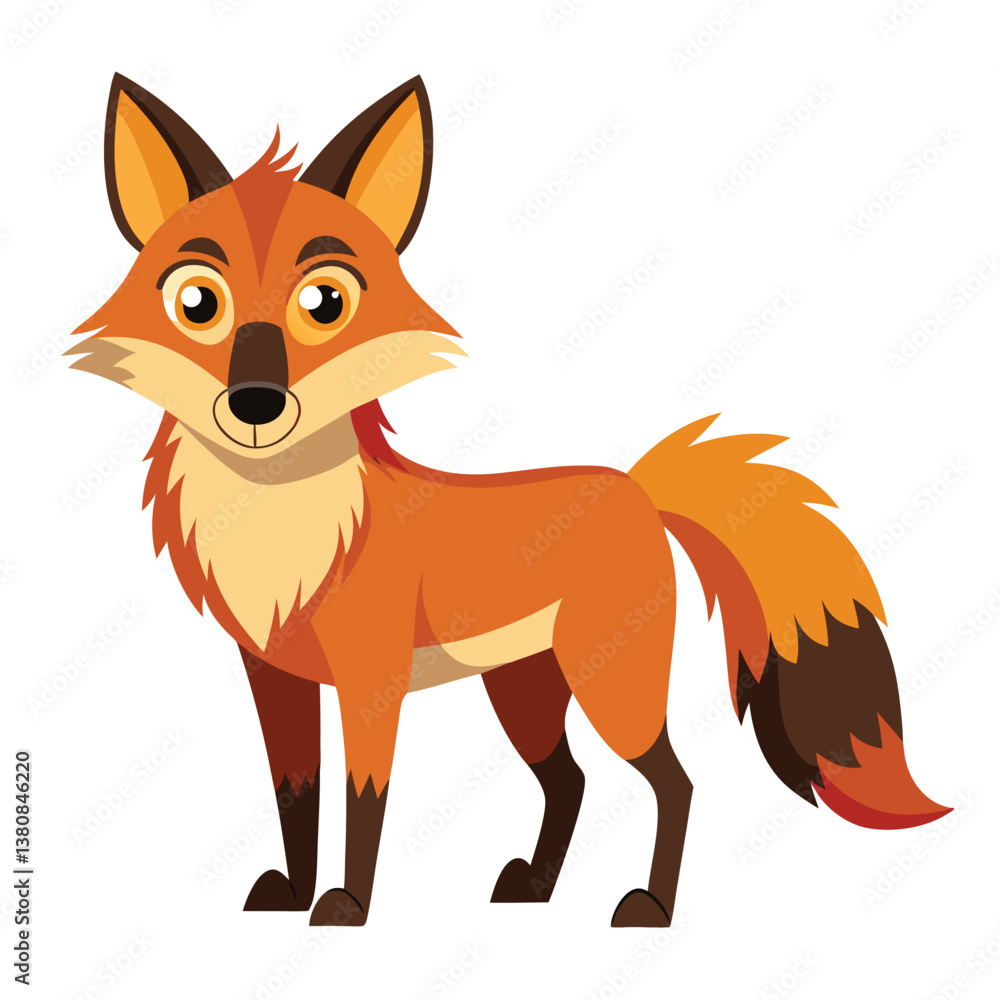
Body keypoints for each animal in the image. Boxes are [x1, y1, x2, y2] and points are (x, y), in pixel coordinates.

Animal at [68, 73, 950, 928]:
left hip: (609, 686)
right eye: (197, 303)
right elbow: (296, 796)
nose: (256, 402)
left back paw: (651, 907)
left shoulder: (371, 683)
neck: (284, 529)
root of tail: (636, 484)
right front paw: (292, 892)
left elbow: (364, 799)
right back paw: (535, 887)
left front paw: (347, 907)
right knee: (570, 781)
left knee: (674, 782)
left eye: (324, 303)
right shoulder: (274, 677)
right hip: (526, 692)